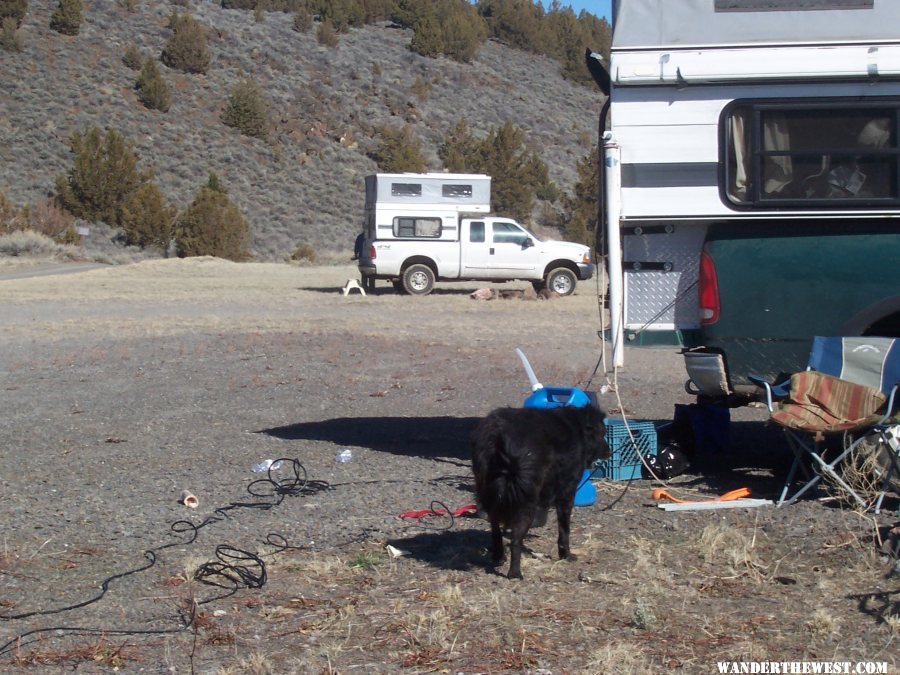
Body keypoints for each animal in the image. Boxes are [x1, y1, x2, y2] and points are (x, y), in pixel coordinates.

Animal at [472, 404, 612, 580]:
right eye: (602, 433)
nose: (610, 451)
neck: (578, 426)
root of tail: (497, 435)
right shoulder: (567, 492)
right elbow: (564, 530)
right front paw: (566, 555)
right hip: (525, 502)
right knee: (515, 540)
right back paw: (515, 573)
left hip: (491, 494)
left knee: (495, 529)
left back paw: (499, 557)